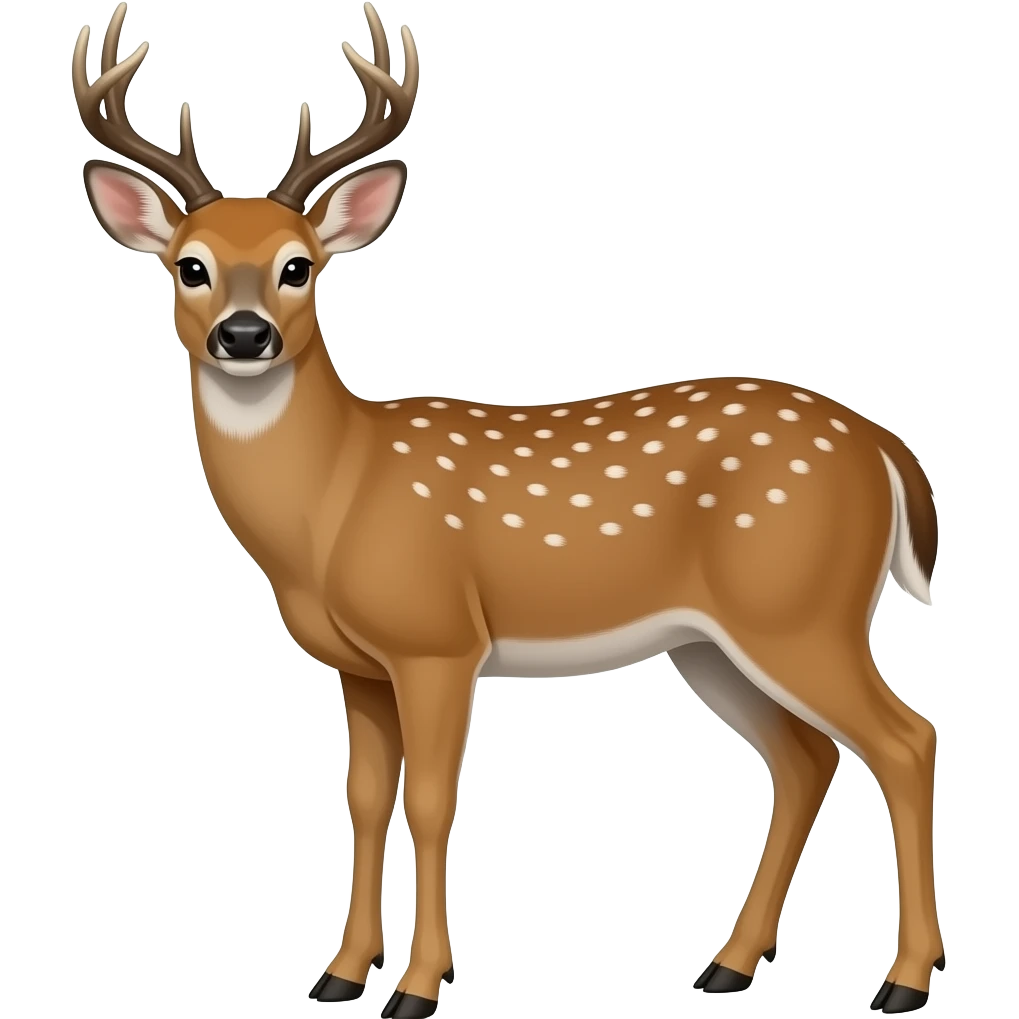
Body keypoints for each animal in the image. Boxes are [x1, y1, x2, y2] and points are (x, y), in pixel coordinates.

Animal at [72, 5, 944, 1016]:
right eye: (189, 266)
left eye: (299, 267)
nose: (241, 336)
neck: (332, 503)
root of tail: (884, 449)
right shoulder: (360, 663)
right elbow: (363, 798)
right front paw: (338, 974)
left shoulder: (438, 639)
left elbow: (429, 800)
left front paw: (417, 984)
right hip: (713, 640)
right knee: (805, 757)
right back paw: (726, 964)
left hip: (802, 609)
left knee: (904, 739)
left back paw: (902, 980)